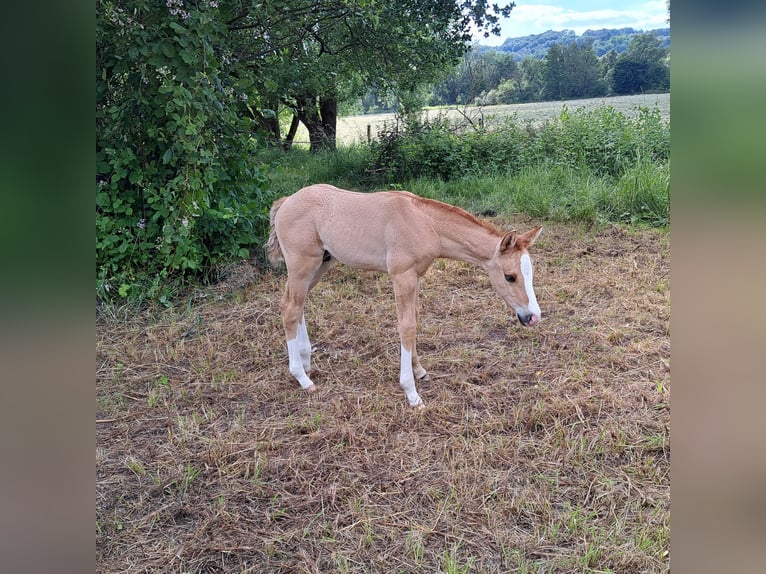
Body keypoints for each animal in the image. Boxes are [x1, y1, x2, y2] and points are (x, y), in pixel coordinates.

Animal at [266, 184, 542, 409]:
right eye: (510, 276)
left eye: (530, 272)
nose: (533, 317)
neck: (424, 223)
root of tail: (286, 202)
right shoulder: (402, 276)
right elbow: (406, 326)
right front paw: (412, 393)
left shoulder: (416, 276)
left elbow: (415, 319)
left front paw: (419, 370)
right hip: (302, 264)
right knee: (289, 307)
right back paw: (302, 377)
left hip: (322, 263)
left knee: (299, 304)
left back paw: (306, 360)